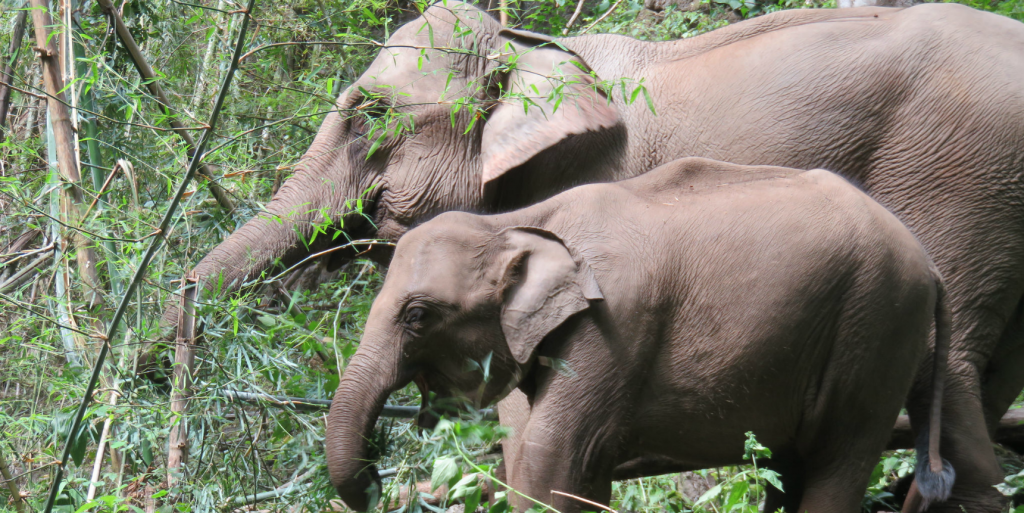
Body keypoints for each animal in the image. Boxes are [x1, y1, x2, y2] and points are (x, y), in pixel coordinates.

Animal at [323, 155, 954, 511]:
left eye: (417, 315)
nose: (379, 468)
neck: (518, 221)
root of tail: (930, 264)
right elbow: (562, 465)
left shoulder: (615, 324)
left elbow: (554, 457)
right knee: (791, 464)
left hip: (877, 326)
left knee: (837, 460)